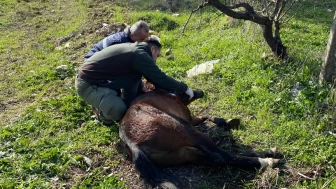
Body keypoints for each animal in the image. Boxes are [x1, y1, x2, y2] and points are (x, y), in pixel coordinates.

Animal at [119, 88, 280, 188]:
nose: (200, 92)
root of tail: (132, 143)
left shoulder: (191, 120)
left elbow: (204, 116)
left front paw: (224, 121)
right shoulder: (188, 120)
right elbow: (205, 116)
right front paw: (225, 122)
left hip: (183, 154)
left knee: (213, 158)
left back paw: (267, 155)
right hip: (186, 130)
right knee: (222, 156)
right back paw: (265, 160)